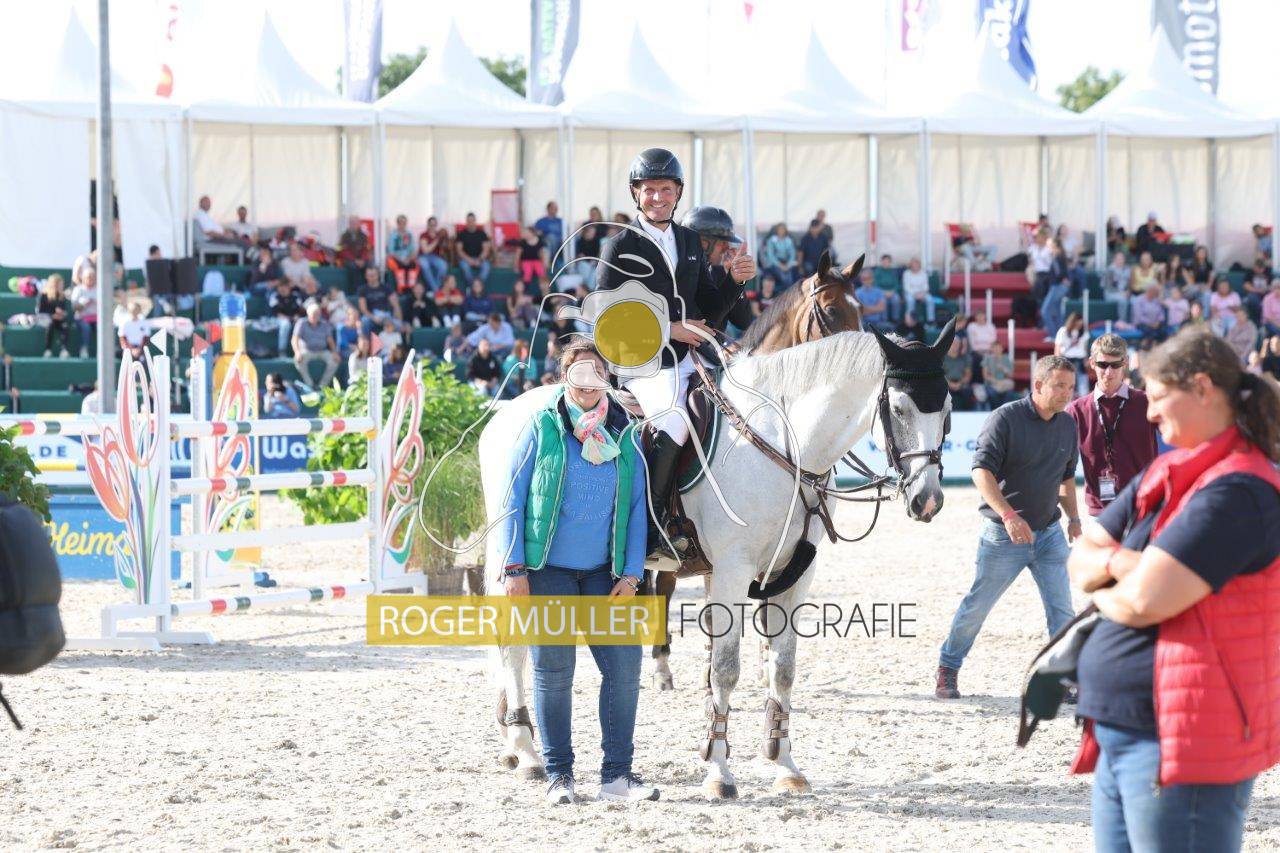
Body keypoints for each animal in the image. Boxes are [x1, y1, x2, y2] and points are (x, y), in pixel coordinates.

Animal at [480, 319, 955, 795]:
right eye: (899, 409)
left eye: (948, 410)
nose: (928, 501)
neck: (786, 444)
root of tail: (505, 411)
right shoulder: (732, 570)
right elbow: (725, 668)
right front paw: (719, 771)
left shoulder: (795, 573)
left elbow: (782, 668)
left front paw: (784, 764)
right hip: (513, 560)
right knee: (512, 648)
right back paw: (526, 751)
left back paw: (510, 742)